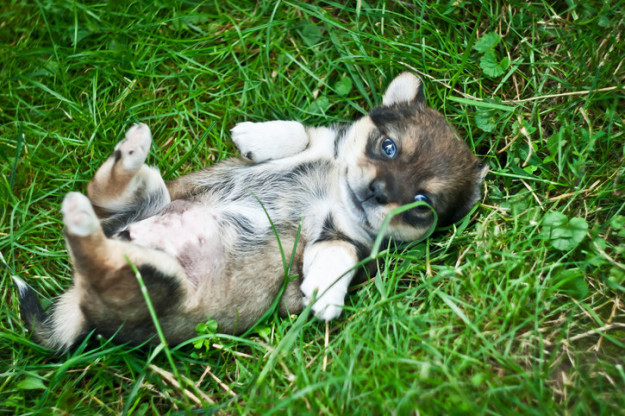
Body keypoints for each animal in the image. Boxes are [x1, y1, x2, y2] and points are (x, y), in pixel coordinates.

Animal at [12, 72, 486, 352]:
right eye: (388, 146)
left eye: (421, 206)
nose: (378, 191)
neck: (335, 192)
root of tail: (81, 308)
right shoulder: (321, 143)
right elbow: (301, 131)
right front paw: (254, 136)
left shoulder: (345, 242)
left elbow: (340, 254)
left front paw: (325, 294)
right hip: (148, 200)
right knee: (101, 193)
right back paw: (130, 151)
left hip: (151, 278)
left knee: (100, 256)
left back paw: (88, 212)